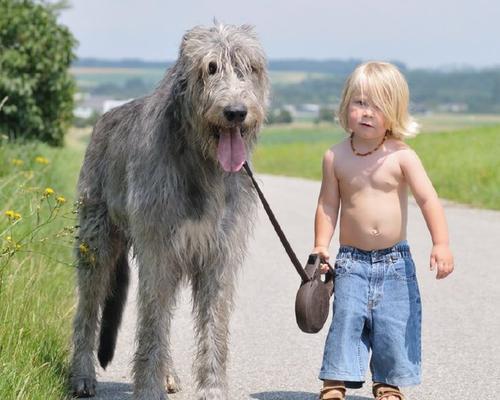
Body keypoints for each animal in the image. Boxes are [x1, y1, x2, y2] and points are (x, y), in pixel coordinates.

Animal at [70, 25, 270, 400]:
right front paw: (148, 388)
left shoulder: (218, 255)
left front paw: (212, 389)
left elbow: (213, 327)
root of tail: (103, 118)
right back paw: (82, 375)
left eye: (249, 67)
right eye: (210, 68)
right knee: (89, 309)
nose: (236, 112)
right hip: (96, 241)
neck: (202, 163)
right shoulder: (159, 250)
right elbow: (152, 327)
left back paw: (168, 373)